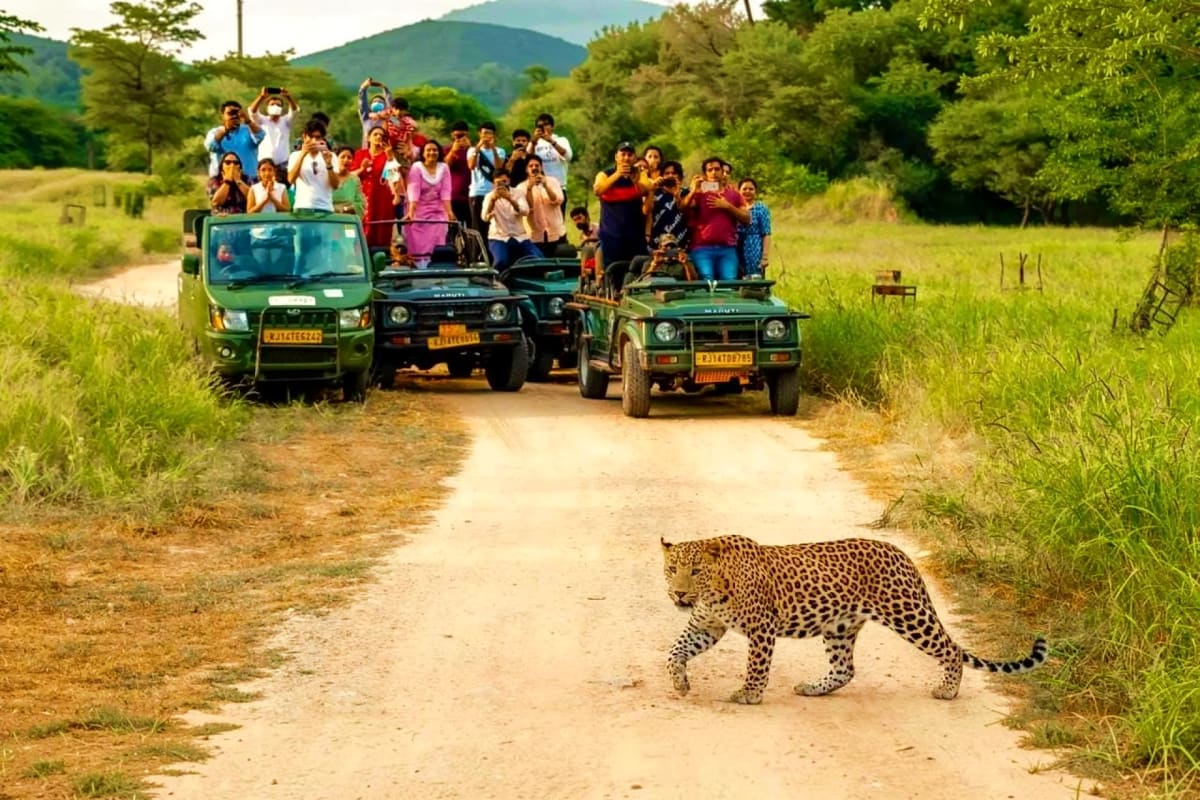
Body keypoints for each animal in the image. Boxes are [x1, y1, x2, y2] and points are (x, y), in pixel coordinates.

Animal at [661, 534, 1047, 704]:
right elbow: (674, 651)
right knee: (845, 669)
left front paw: (749, 694)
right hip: (840, 627)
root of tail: (901, 554)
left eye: (695, 571)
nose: (679, 594)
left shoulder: (761, 628)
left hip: (908, 614)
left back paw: (948, 690)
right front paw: (680, 682)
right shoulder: (706, 626)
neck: (714, 589)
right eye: (671, 569)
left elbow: (757, 665)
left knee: (951, 649)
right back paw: (813, 688)